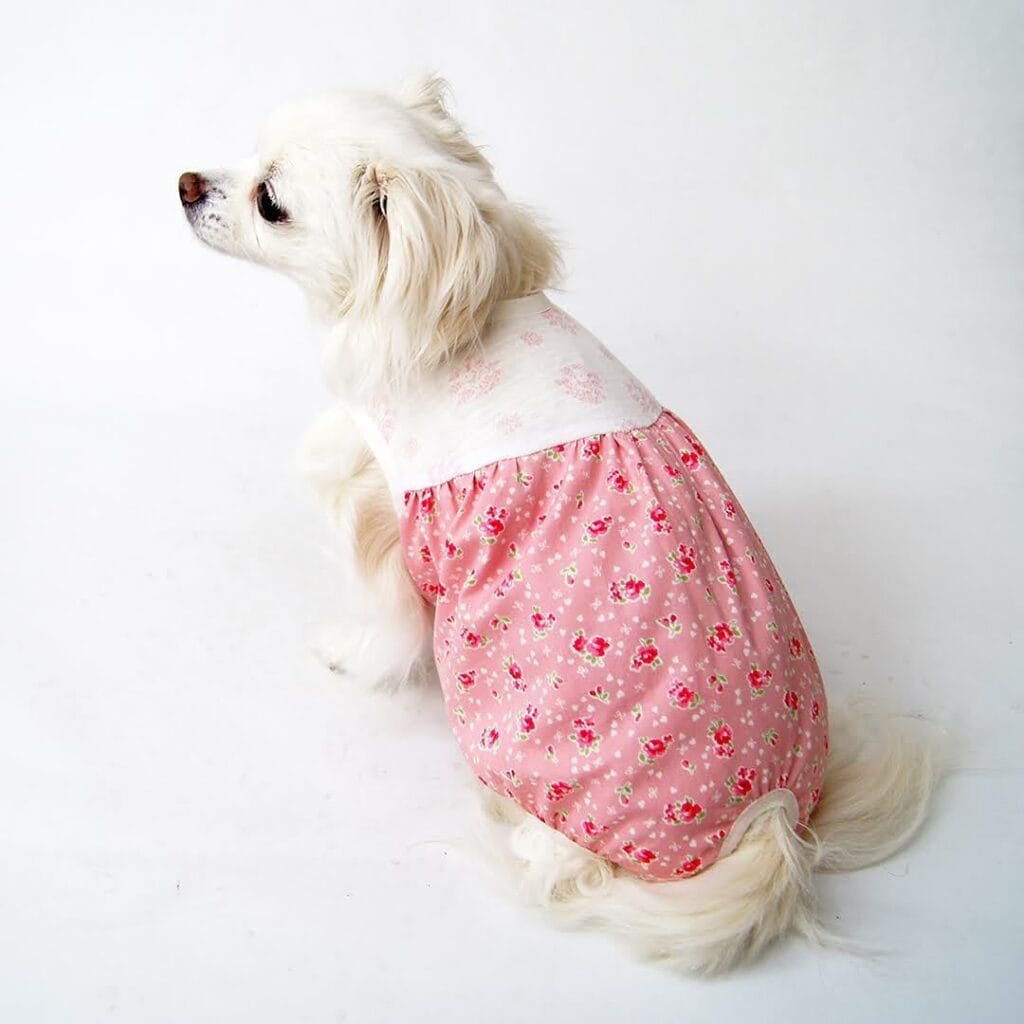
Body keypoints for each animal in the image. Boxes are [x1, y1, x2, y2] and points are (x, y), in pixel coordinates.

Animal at [179, 76, 935, 973]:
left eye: (270, 201)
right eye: (247, 154)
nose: (186, 183)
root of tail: (775, 823)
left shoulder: (382, 522)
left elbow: (381, 624)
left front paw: (347, 653)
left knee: (559, 861)